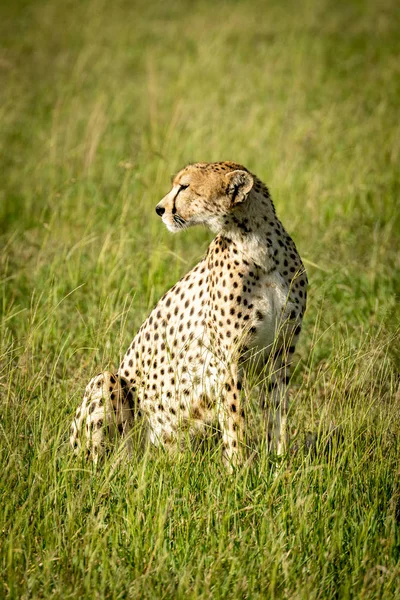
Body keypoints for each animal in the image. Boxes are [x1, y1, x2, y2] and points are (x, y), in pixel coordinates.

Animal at [71, 162, 306, 466]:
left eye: (184, 187)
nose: (159, 209)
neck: (259, 249)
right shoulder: (228, 360)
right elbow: (235, 418)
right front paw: (239, 469)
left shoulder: (280, 354)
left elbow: (277, 413)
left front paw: (279, 462)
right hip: (108, 385)